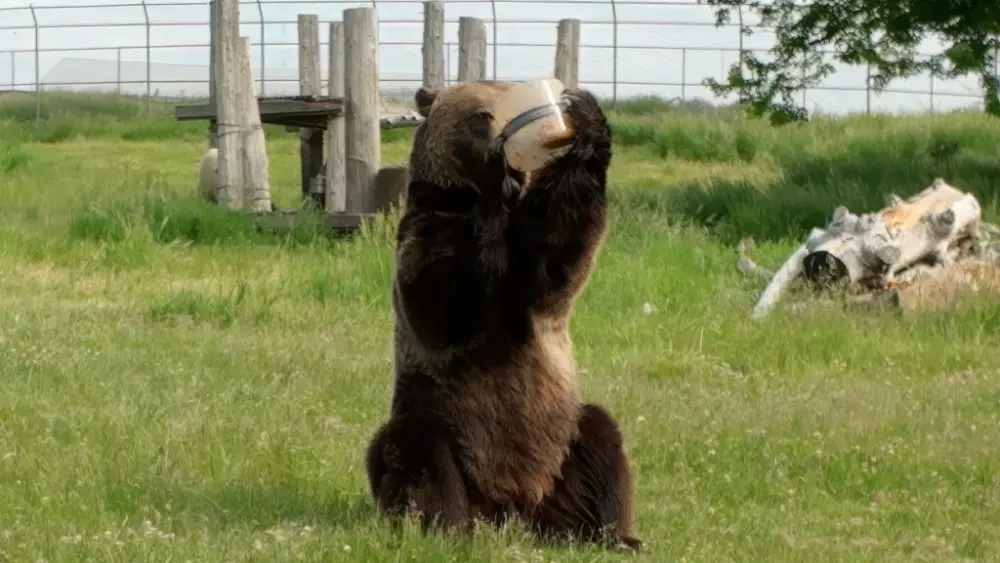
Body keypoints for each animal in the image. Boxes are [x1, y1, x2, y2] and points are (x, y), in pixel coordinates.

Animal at [363, 80, 641, 552]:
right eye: (479, 115)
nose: (503, 139)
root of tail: (511, 510)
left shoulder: (528, 280)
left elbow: (558, 253)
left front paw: (585, 121)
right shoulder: (426, 233)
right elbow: (441, 309)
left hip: (560, 440)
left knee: (600, 443)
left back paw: (607, 533)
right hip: (444, 422)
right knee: (417, 454)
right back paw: (448, 527)